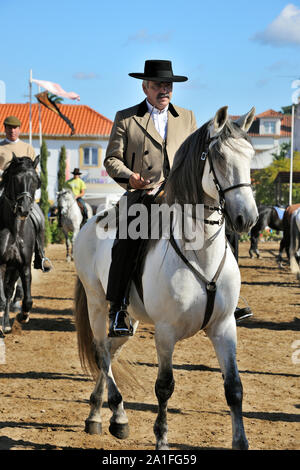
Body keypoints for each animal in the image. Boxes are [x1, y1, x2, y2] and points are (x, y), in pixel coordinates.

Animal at [72, 104, 258, 450]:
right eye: (220, 157)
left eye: (251, 155)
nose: (247, 218)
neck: (200, 251)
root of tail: (91, 221)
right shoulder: (166, 332)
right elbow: (164, 386)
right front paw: (161, 440)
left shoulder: (224, 327)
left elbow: (234, 388)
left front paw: (241, 442)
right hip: (97, 302)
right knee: (101, 351)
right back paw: (118, 417)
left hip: (127, 318)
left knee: (110, 350)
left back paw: (95, 413)